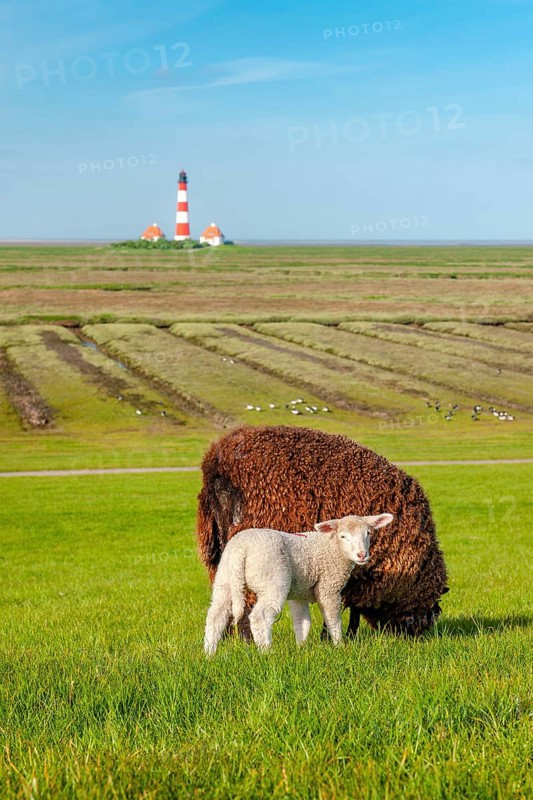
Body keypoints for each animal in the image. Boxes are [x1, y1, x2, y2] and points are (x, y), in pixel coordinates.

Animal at [197, 425, 448, 639]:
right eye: (430, 610)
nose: (416, 636)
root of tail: (219, 467)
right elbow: (342, 607)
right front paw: (335, 637)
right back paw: (247, 640)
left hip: (219, 556)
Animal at [204, 513, 394, 654]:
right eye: (343, 536)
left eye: (368, 533)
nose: (362, 555)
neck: (333, 547)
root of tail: (241, 548)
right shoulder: (329, 587)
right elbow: (333, 620)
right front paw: (339, 646)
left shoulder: (299, 593)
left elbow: (302, 622)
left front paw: (301, 648)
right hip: (272, 579)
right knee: (260, 617)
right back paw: (267, 653)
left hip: (225, 578)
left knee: (216, 615)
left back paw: (209, 654)